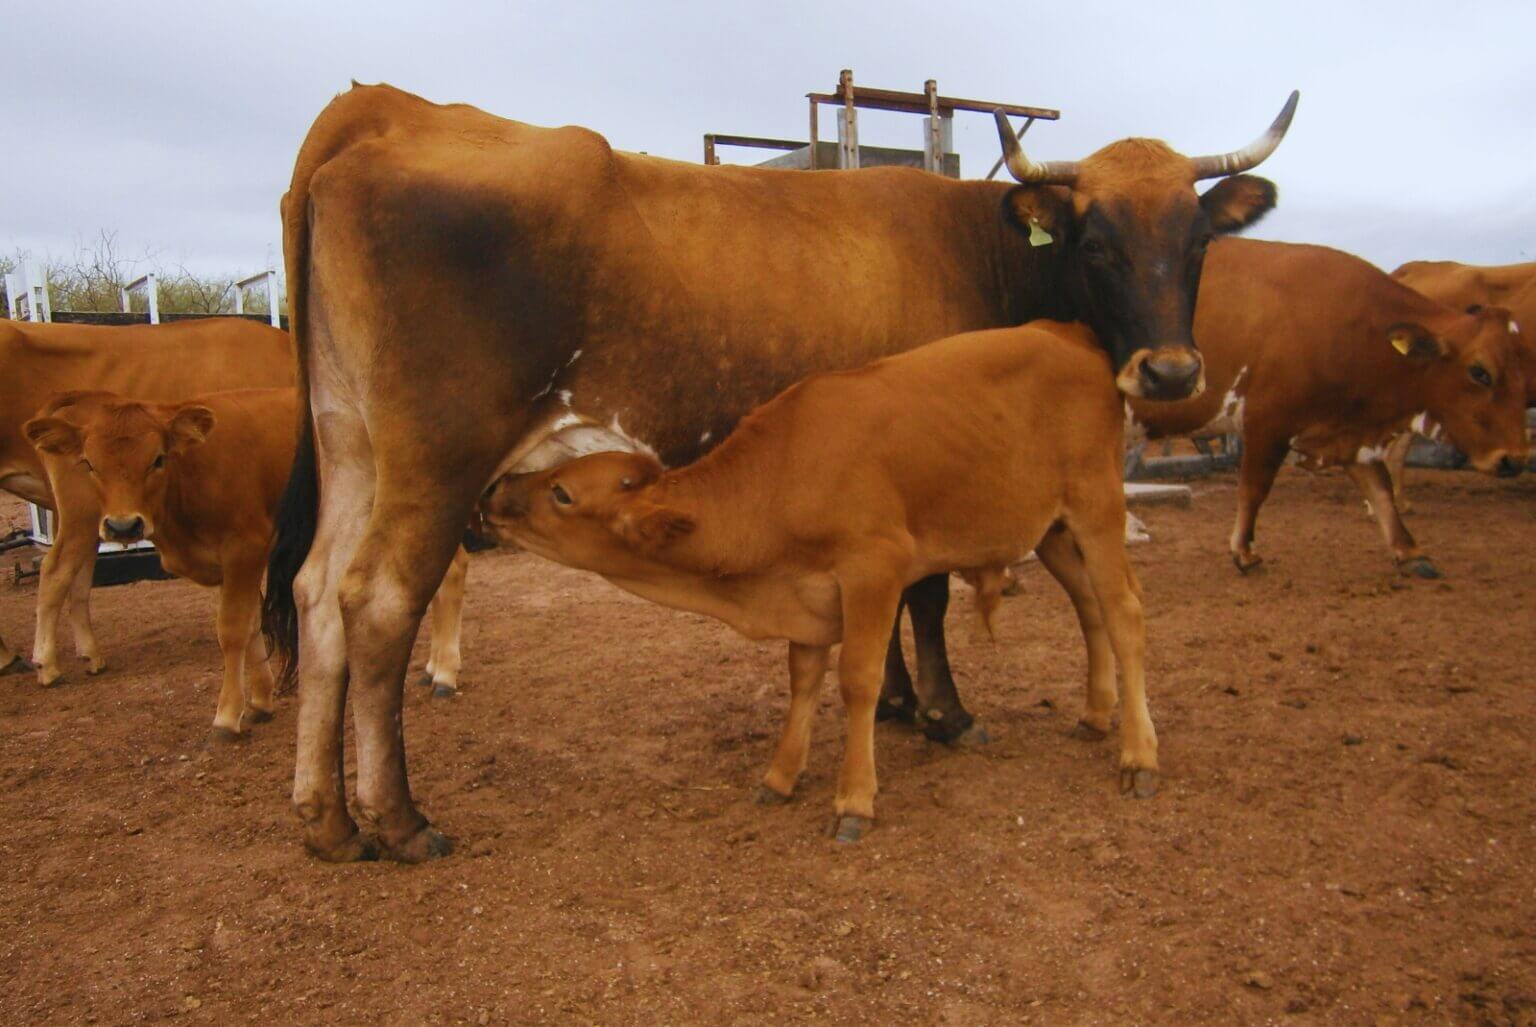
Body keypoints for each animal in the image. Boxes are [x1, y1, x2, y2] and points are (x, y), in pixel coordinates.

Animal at [0, 318, 295, 679]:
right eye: (90, 463)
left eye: (157, 459)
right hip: (81, 513)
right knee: (57, 569)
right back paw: (47, 664)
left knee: (79, 574)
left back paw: (87, 655)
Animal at [480, 319, 1148, 842]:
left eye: (561, 493)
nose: (494, 493)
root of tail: (1067, 331)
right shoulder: (804, 595)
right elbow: (802, 680)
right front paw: (780, 776)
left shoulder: (875, 567)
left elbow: (858, 680)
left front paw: (854, 799)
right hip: (1052, 529)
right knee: (1090, 606)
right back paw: (1096, 714)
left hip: (1098, 505)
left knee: (1123, 611)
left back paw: (1139, 756)